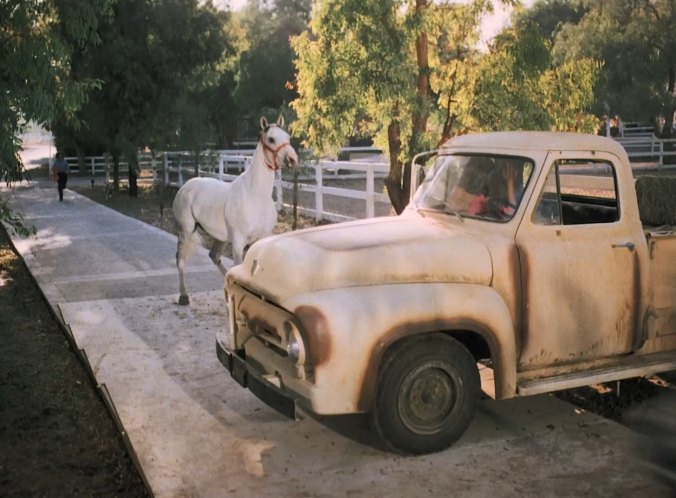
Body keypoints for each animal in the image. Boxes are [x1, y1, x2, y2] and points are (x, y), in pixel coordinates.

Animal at [172, 116, 298, 304]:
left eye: (288, 137)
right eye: (271, 139)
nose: (293, 159)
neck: (255, 196)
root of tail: (185, 186)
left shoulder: (262, 237)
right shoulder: (238, 242)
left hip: (221, 238)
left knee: (214, 256)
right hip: (185, 231)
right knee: (180, 260)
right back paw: (183, 296)